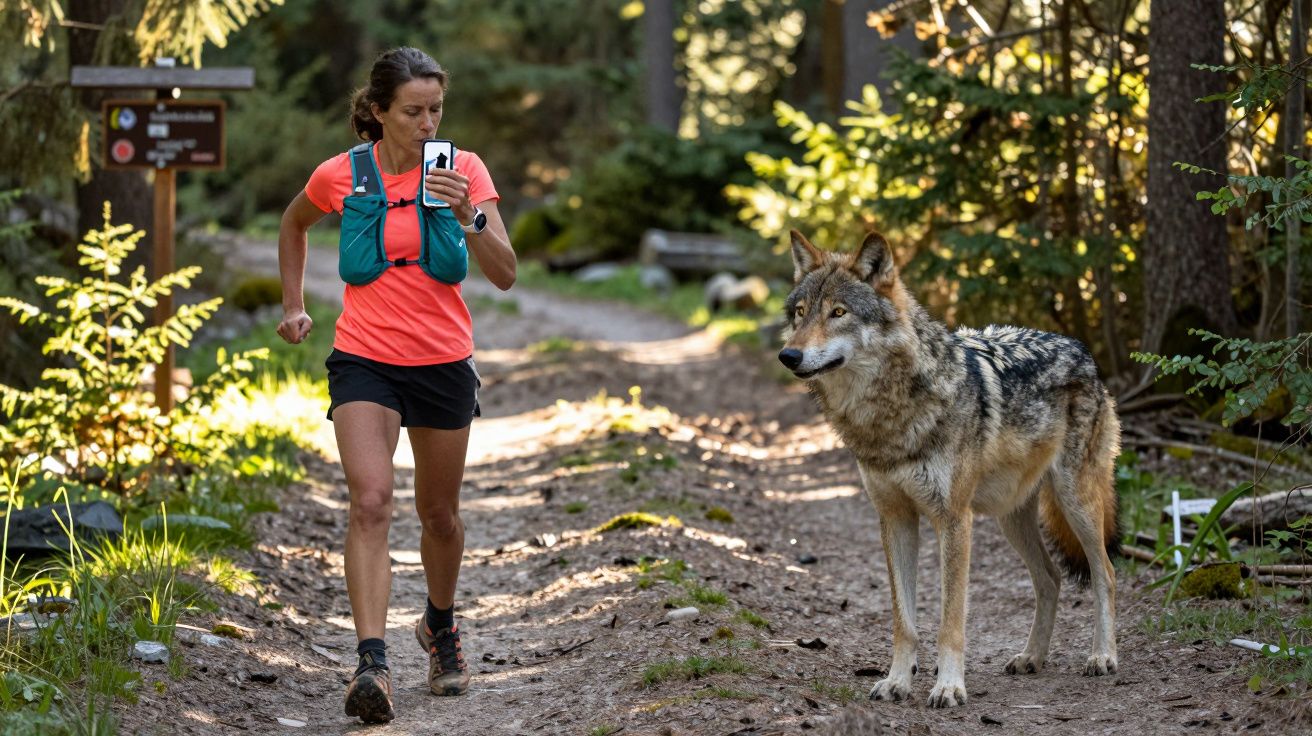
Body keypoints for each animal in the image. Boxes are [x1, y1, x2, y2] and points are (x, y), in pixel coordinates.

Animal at [778, 230, 1121, 708]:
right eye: (800, 312)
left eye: (839, 312)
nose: (788, 355)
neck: (890, 417)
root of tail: (1081, 349)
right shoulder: (895, 518)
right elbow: (903, 620)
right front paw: (897, 681)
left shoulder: (953, 520)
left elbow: (950, 619)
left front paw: (949, 686)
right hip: (1011, 517)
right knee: (1050, 578)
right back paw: (1031, 657)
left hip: (1076, 502)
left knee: (1105, 573)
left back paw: (1103, 657)